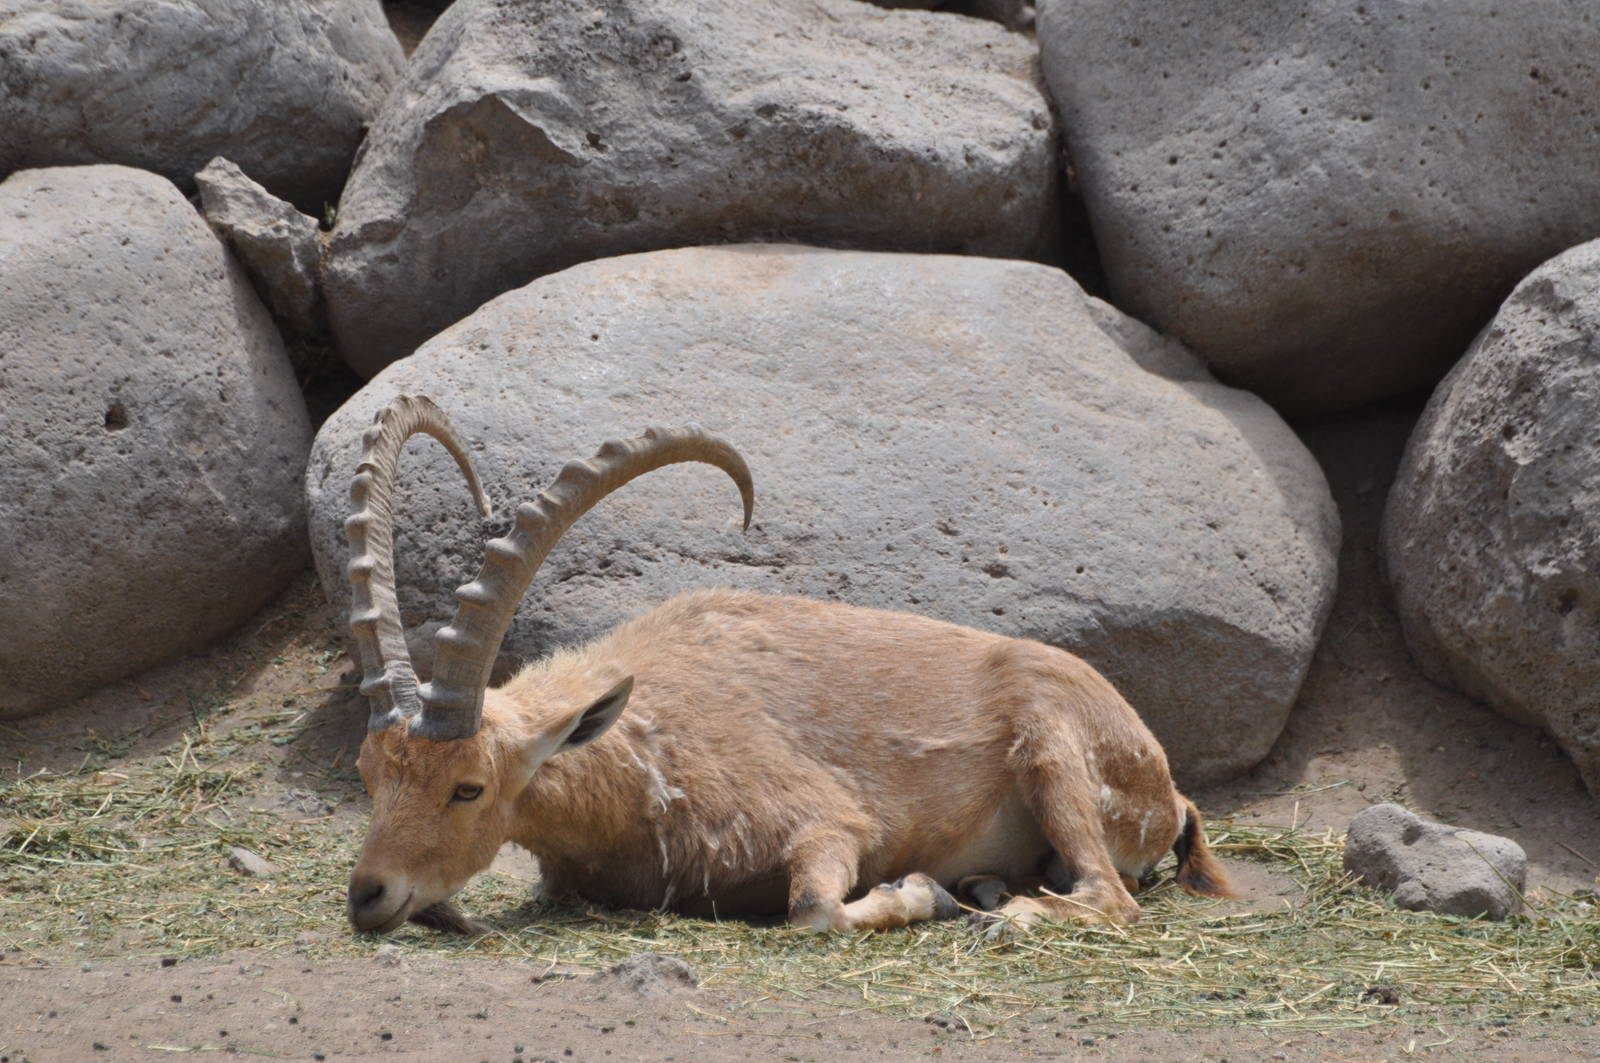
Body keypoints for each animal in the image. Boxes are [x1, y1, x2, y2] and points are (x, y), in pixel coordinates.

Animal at [344, 395, 1233, 935]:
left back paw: (993, 908)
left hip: (1055, 754)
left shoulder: (829, 822)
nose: (368, 897)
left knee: (1108, 896)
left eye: (469, 786)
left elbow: (815, 907)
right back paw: (990, 888)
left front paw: (920, 890)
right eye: (370, 774)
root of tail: (1169, 790)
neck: (645, 748)